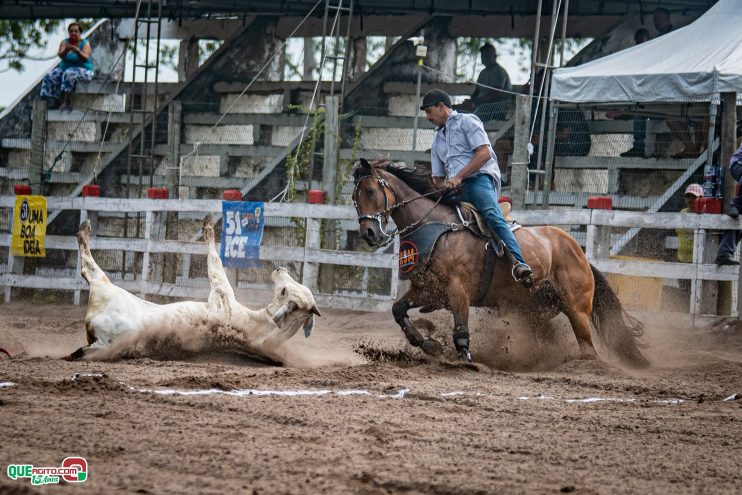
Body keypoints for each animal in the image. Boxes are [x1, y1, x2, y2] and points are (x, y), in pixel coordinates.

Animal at [70, 215, 322, 362]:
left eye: (284, 291)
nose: (280, 269)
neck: (258, 322)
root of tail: (99, 339)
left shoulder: (220, 289)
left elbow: (214, 261)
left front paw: (208, 225)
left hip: (103, 288)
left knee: (89, 269)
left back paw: (84, 228)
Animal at [352, 159, 648, 368]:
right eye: (355, 199)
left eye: (371, 190)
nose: (369, 233)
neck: (438, 228)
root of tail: (580, 253)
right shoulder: (429, 290)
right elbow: (398, 309)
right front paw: (430, 345)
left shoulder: (458, 290)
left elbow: (461, 329)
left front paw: (464, 360)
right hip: (534, 313)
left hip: (576, 309)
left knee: (588, 348)